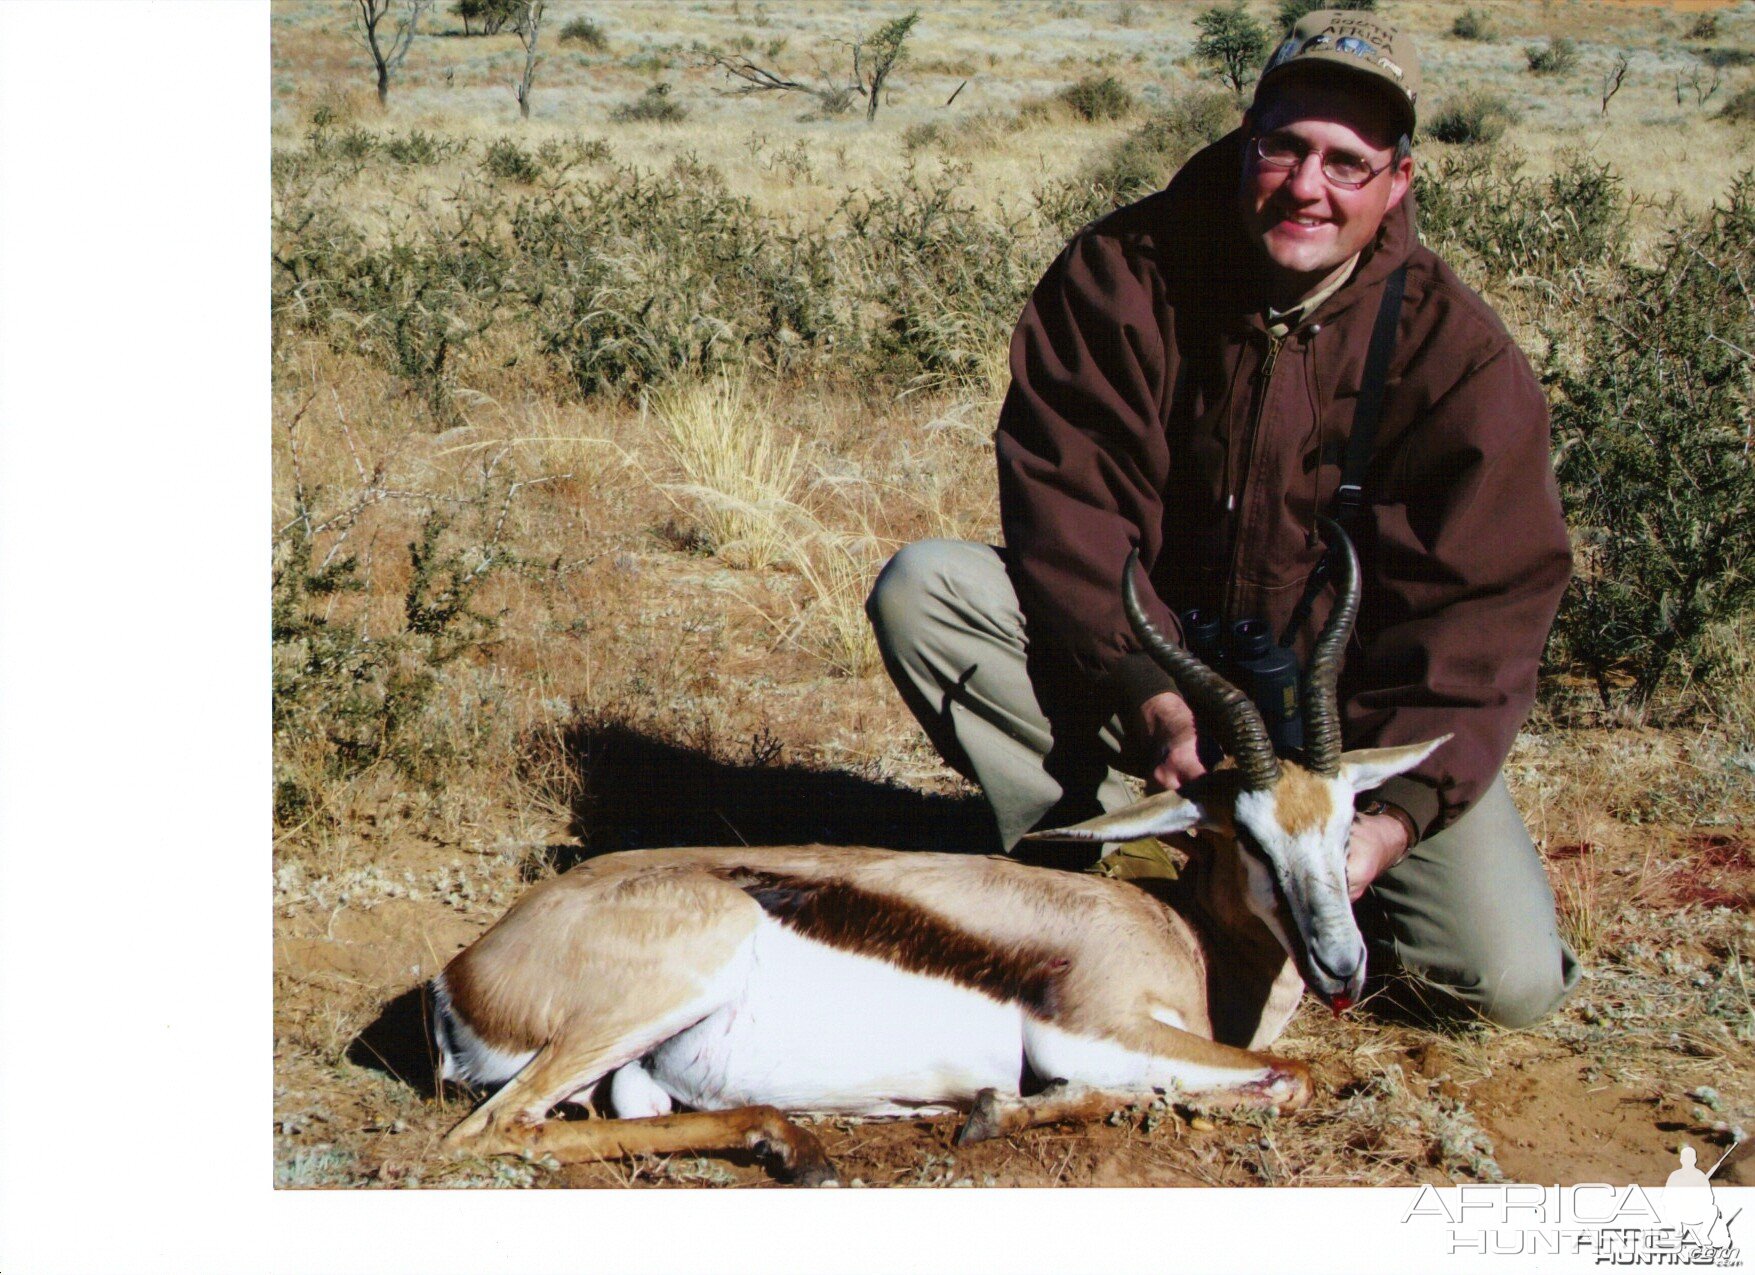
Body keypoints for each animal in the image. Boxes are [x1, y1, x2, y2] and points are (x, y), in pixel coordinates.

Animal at [424, 519, 1439, 1187]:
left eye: (1348, 819)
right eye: (1246, 836)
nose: (1341, 963)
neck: (1185, 939)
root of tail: (459, 974)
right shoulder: (1096, 1026)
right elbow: (1283, 1078)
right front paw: (995, 1111)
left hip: (642, 1071)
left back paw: (795, 1140)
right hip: (656, 994)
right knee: (494, 1130)